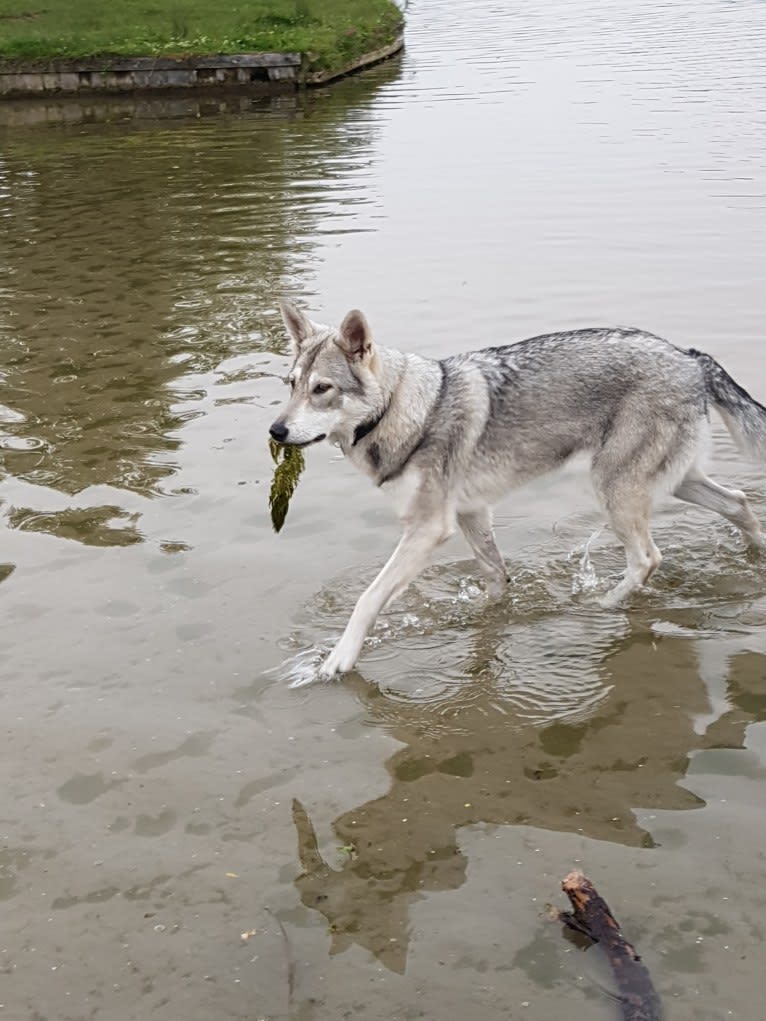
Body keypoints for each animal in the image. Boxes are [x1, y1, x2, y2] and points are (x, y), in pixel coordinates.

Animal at [271, 304, 766, 686]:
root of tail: (690, 357)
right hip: (675, 482)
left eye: (322, 389)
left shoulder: (428, 529)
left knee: (648, 559)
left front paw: (339, 659)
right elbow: (496, 578)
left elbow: (368, 599)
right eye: (290, 384)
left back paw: (599, 606)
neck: (402, 410)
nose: (275, 431)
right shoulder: (472, 515)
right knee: (740, 502)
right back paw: (755, 557)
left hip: (614, 489)